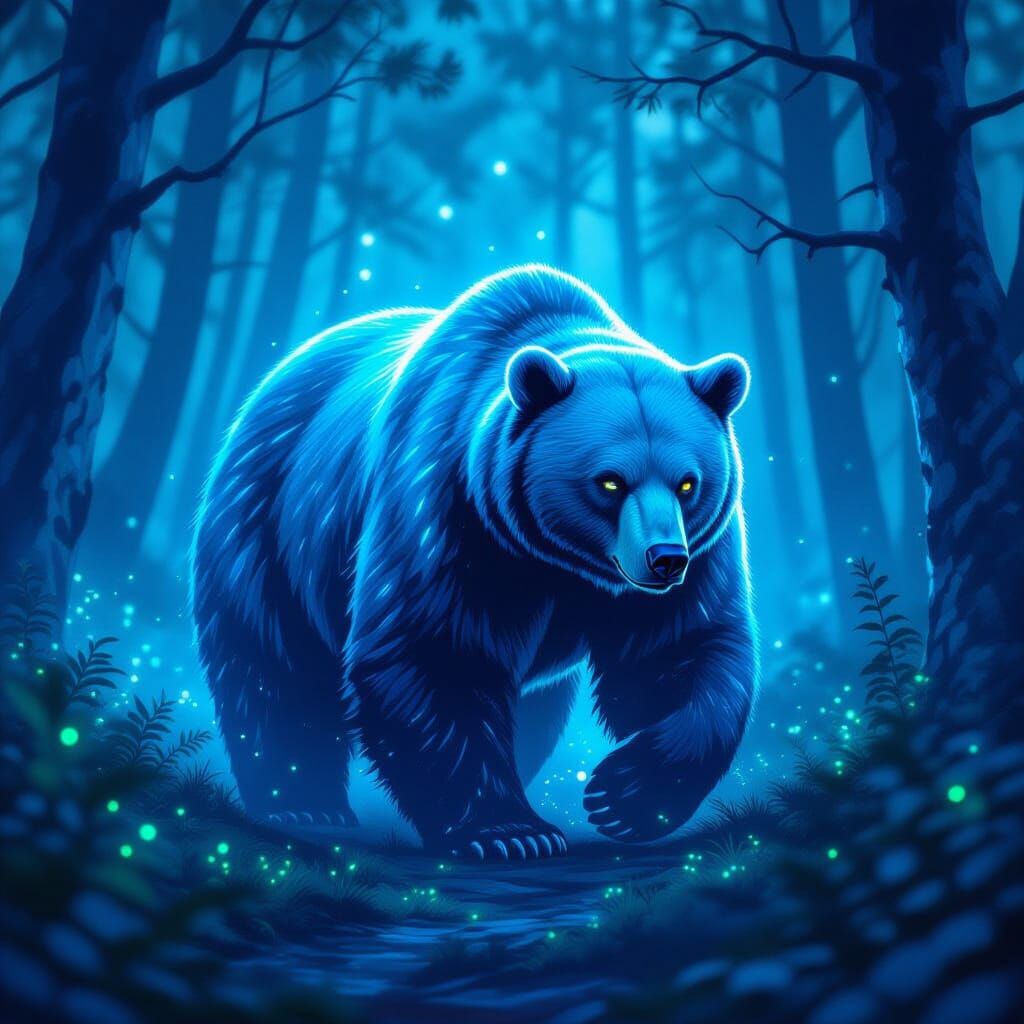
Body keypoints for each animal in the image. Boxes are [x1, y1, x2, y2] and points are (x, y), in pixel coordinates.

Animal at [191, 264, 758, 860]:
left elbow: (682, 650)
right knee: (273, 668)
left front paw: (624, 797)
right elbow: (438, 652)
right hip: (267, 527)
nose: (665, 559)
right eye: (609, 481)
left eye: (688, 482)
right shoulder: (447, 512)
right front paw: (510, 832)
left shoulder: (696, 555)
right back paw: (302, 802)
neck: (559, 561)